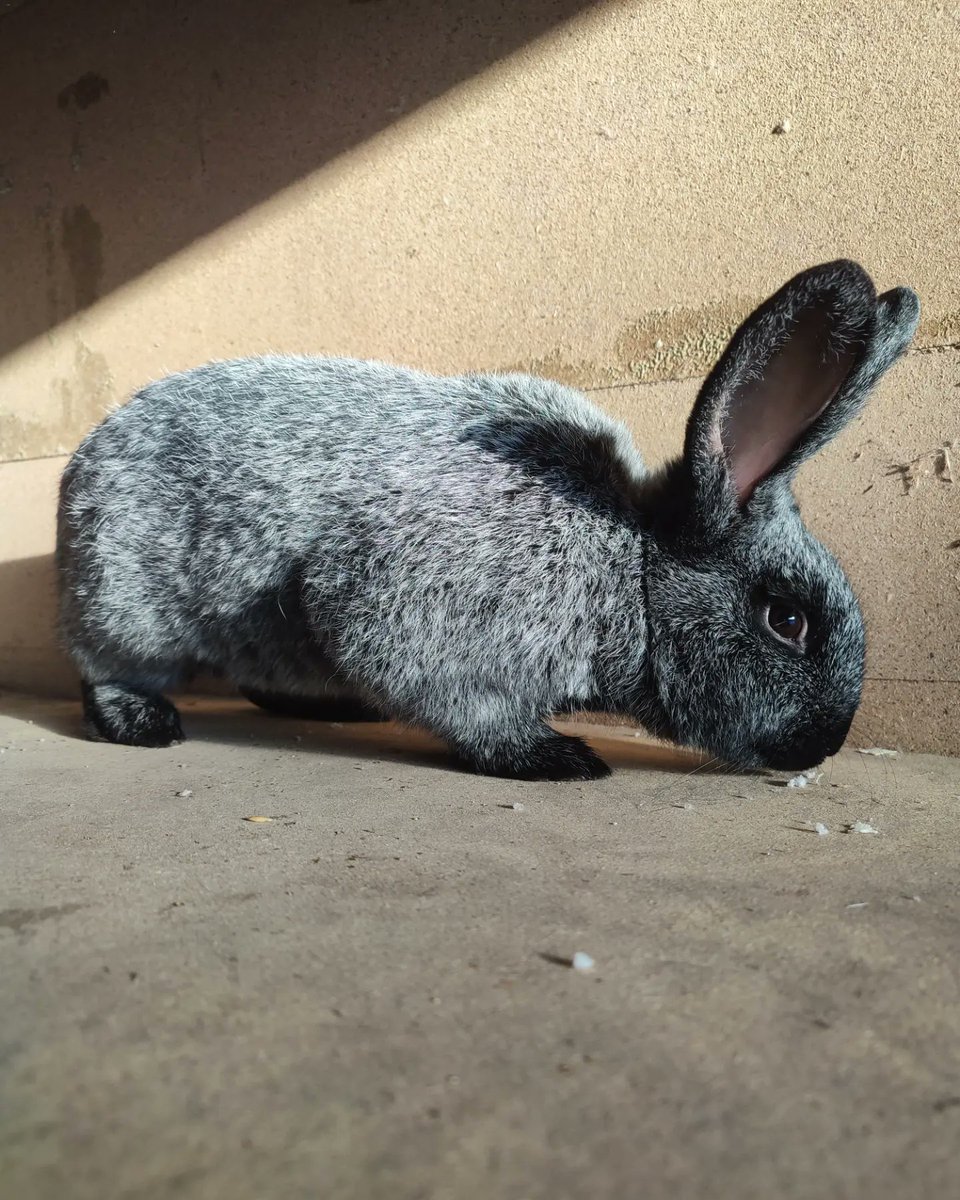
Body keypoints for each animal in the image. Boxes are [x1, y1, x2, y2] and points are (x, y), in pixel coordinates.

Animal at [56, 260, 919, 780]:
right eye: (786, 621)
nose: (825, 745)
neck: (630, 566)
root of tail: (86, 456)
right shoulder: (401, 613)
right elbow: (472, 712)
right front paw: (558, 757)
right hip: (127, 608)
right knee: (102, 669)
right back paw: (145, 721)